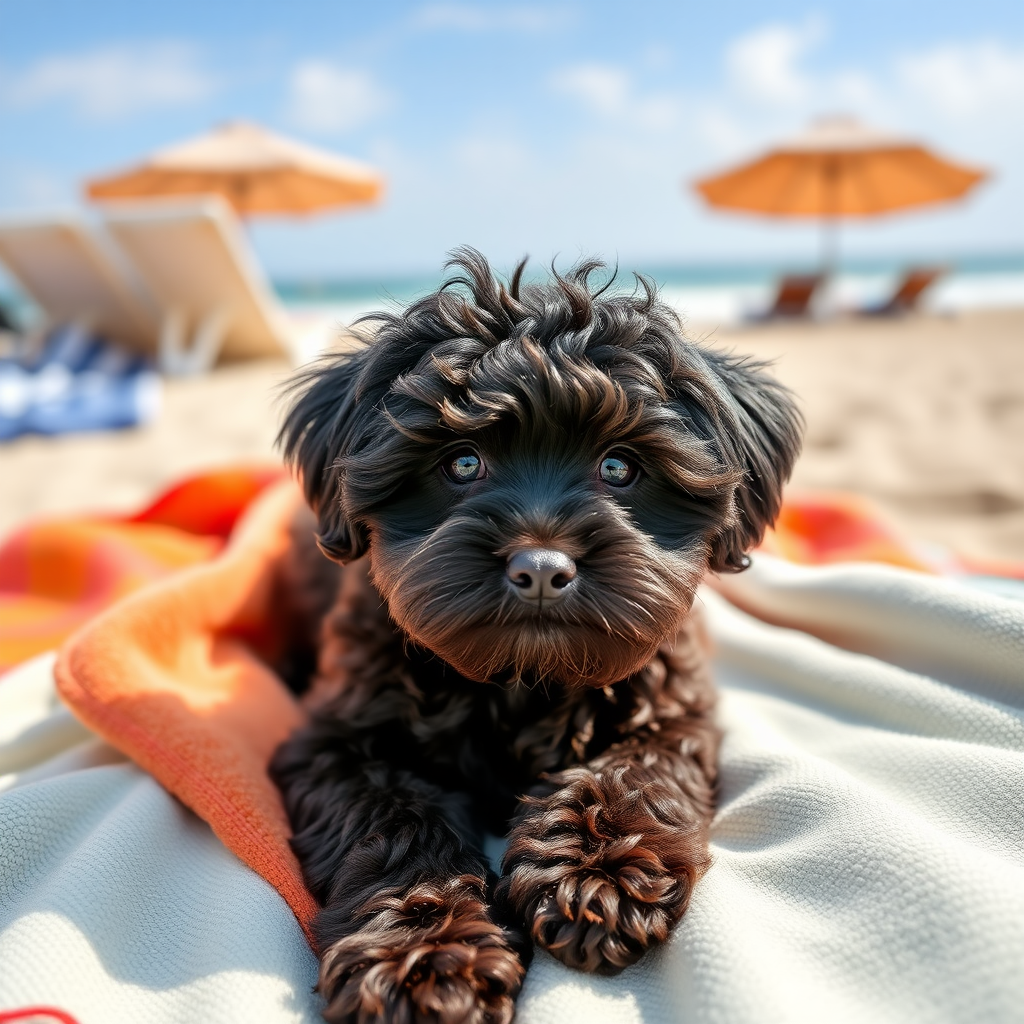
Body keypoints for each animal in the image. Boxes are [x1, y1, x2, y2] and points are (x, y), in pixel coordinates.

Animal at [272, 249, 798, 1024]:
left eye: (619, 466)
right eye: (462, 462)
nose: (542, 568)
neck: (519, 679)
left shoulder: (673, 707)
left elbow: (632, 772)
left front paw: (599, 872)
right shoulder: (337, 741)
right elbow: (392, 824)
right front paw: (426, 953)